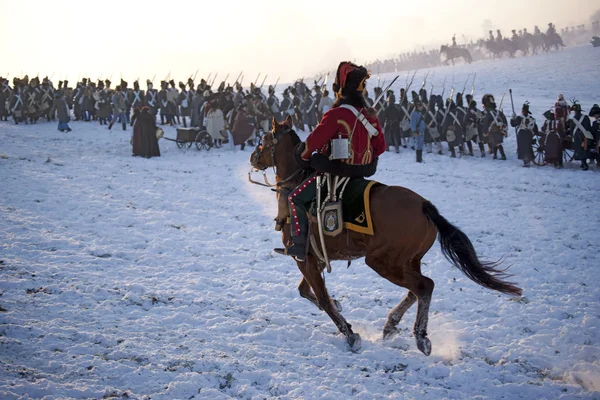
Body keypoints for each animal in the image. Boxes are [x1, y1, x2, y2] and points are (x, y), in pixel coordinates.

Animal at [251, 116, 524, 356]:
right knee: (417, 290)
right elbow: (308, 292)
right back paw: (392, 325)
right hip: (407, 261)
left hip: (383, 261)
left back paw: (420, 336)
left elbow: (321, 297)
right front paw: (339, 307)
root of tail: (424, 205)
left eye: (264, 140)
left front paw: (350, 334)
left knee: (424, 286)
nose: (253, 157)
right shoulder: (313, 259)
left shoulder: (304, 259)